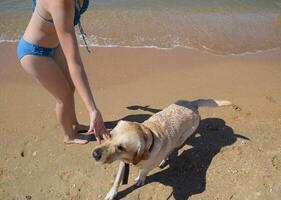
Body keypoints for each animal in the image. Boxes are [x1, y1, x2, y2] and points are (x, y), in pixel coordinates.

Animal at [92, 99, 232, 199]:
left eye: (121, 147)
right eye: (110, 135)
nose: (95, 154)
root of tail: (192, 103)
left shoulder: (148, 165)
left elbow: (143, 171)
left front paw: (140, 179)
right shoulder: (123, 162)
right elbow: (117, 180)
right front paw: (111, 193)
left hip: (181, 138)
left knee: (171, 148)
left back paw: (164, 159)